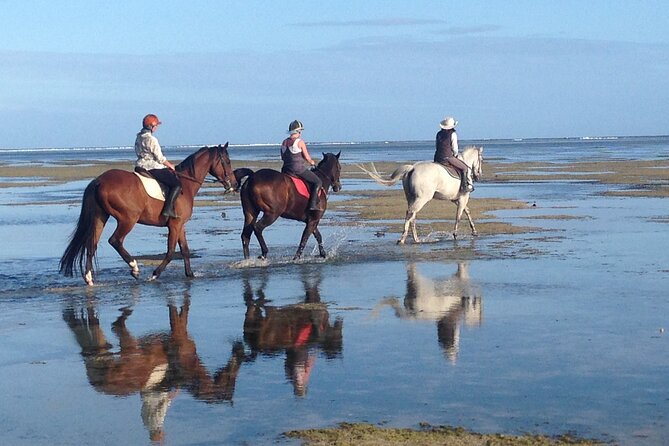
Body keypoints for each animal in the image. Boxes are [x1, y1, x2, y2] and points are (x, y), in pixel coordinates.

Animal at [60, 145, 236, 286]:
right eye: (227, 161)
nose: (234, 184)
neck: (186, 184)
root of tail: (99, 180)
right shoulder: (174, 225)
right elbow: (171, 252)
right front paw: (154, 275)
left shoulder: (180, 225)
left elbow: (185, 250)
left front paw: (190, 275)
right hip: (128, 219)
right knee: (115, 240)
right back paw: (134, 268)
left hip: (100, 217)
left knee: (92, 244)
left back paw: (89, 278)